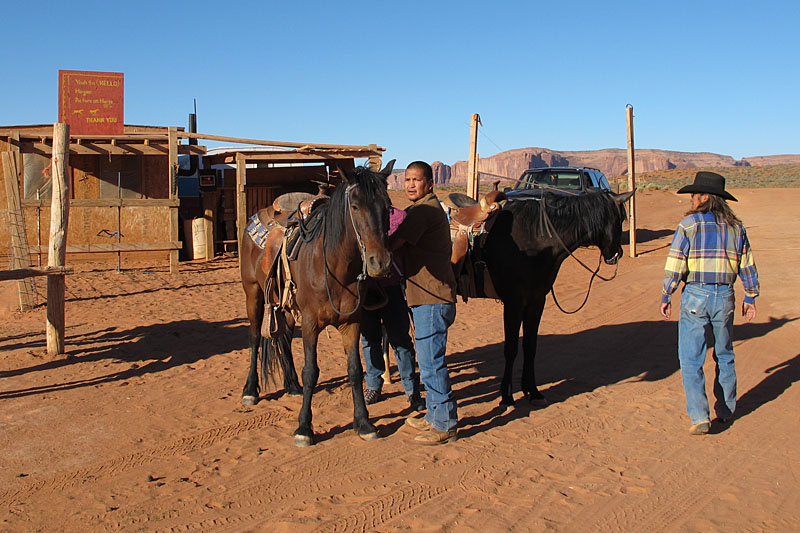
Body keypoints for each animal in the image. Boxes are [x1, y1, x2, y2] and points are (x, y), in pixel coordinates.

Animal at [241, 161, 396, 444]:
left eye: (387, 206)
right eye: (355, 206)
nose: (380, 263)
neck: (335, 268)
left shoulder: (352, 323)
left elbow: (355, 370)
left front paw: (363, 422)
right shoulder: (311, 323)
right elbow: (311, 371)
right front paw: (304, 427)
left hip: (286, 305)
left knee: (284, 337)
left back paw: (292, 385)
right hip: (253, 293)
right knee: (256, 337)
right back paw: (250, 390)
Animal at [478, 189, 636, 406]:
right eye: (620, 218)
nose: (617, 253)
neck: (535, 238)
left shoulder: (536, 300)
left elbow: (530, 346)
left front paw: (532, 390)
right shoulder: (514, 302)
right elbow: (511, 348)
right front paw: (507, 396)